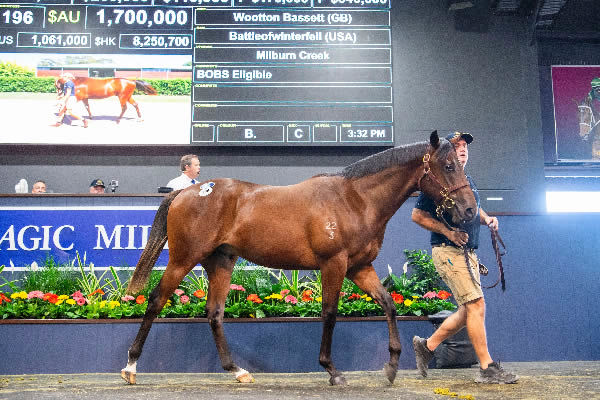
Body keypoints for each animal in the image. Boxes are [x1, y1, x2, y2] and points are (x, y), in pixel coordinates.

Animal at [120, 131, 478, 388]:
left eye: (461, 164)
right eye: (448, 166)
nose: (470, 210)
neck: (355, 199)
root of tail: (186, 192)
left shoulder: (360, 267)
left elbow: (388, 304)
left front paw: (390, 367)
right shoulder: (334, 264)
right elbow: (330, 313)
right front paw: (333, 370)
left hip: (220, 262)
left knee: (214, 313)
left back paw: (238, 371)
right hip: (183, 259)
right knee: (156, 300)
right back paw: (131, 367)